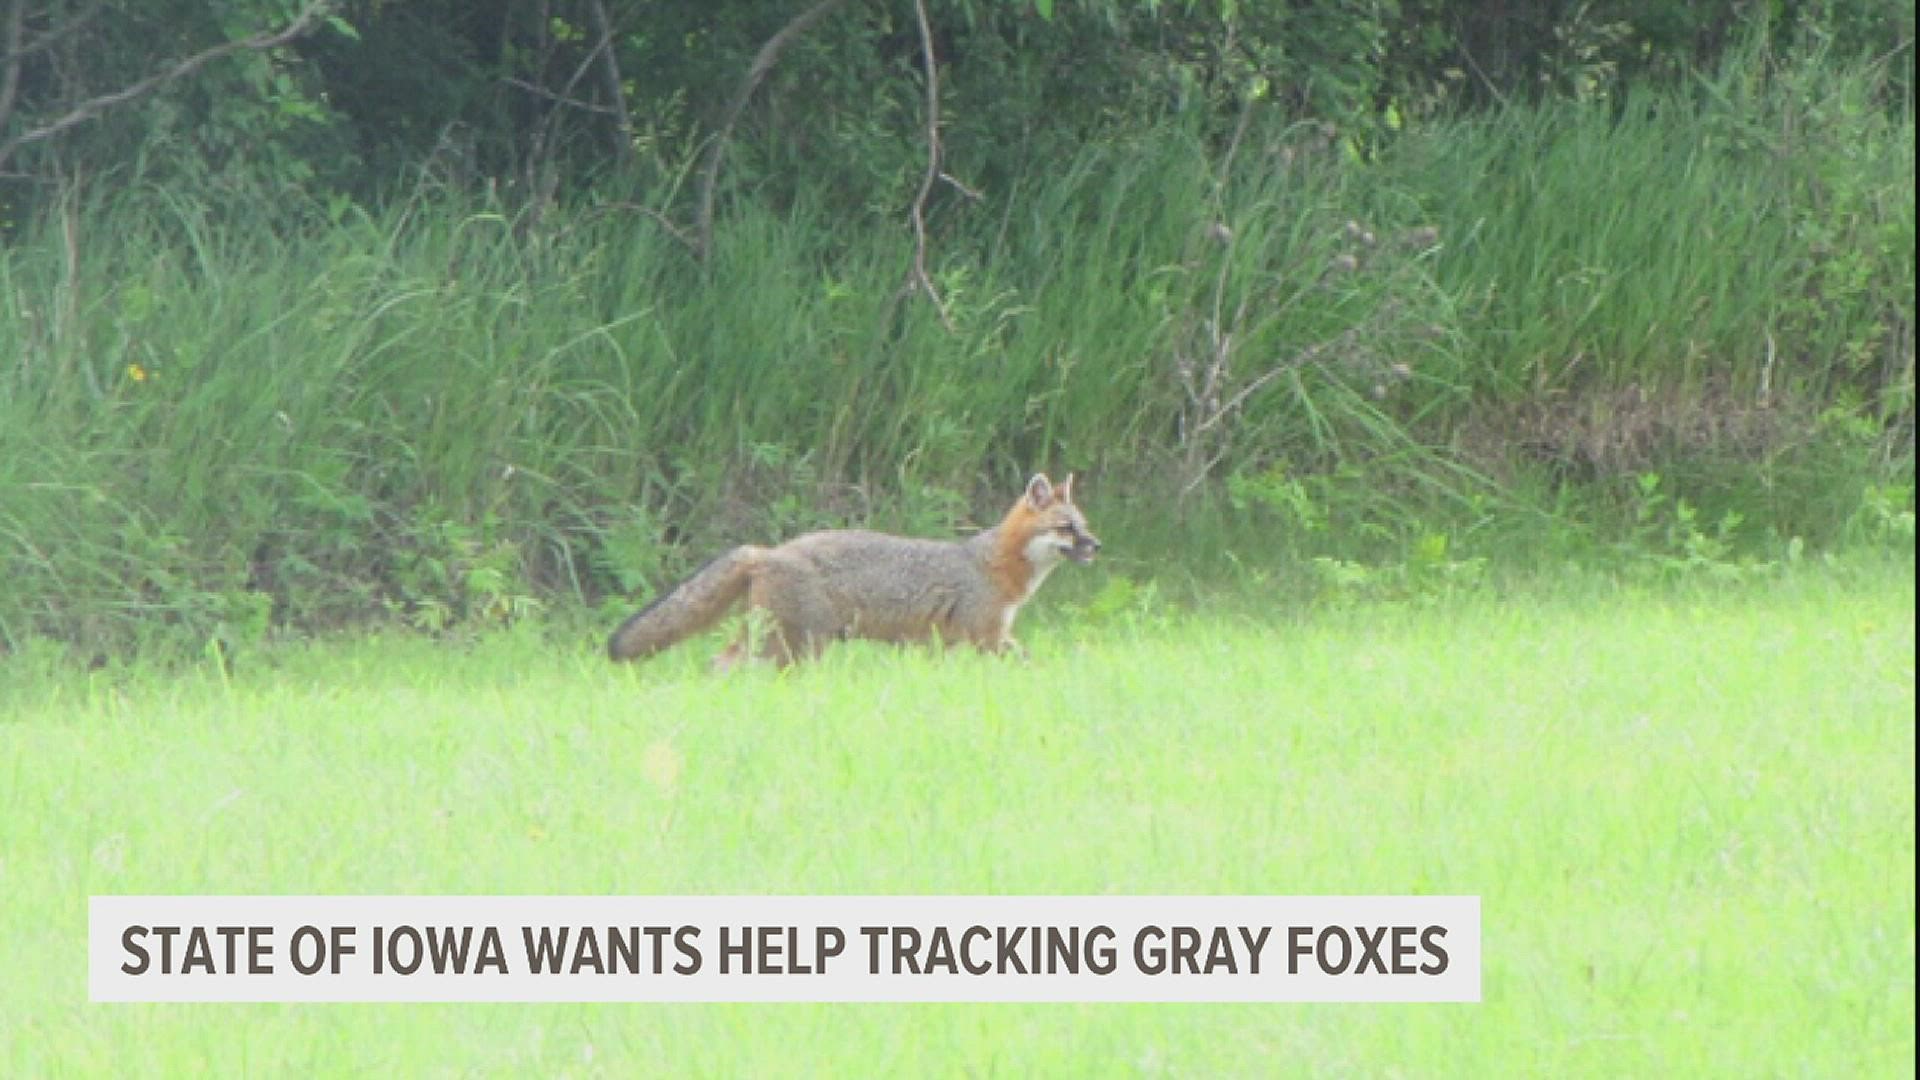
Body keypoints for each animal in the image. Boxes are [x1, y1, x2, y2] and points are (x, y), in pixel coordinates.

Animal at [606, 470, 1105, 664]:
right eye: (1066, 528)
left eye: (1084, 525)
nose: (1097, 545)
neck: (991, 564)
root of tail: (767, 551)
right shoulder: (988, 636)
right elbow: (1030, 662)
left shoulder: (945, 644)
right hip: (798, 646)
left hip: (772, 638)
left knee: (719, 663)